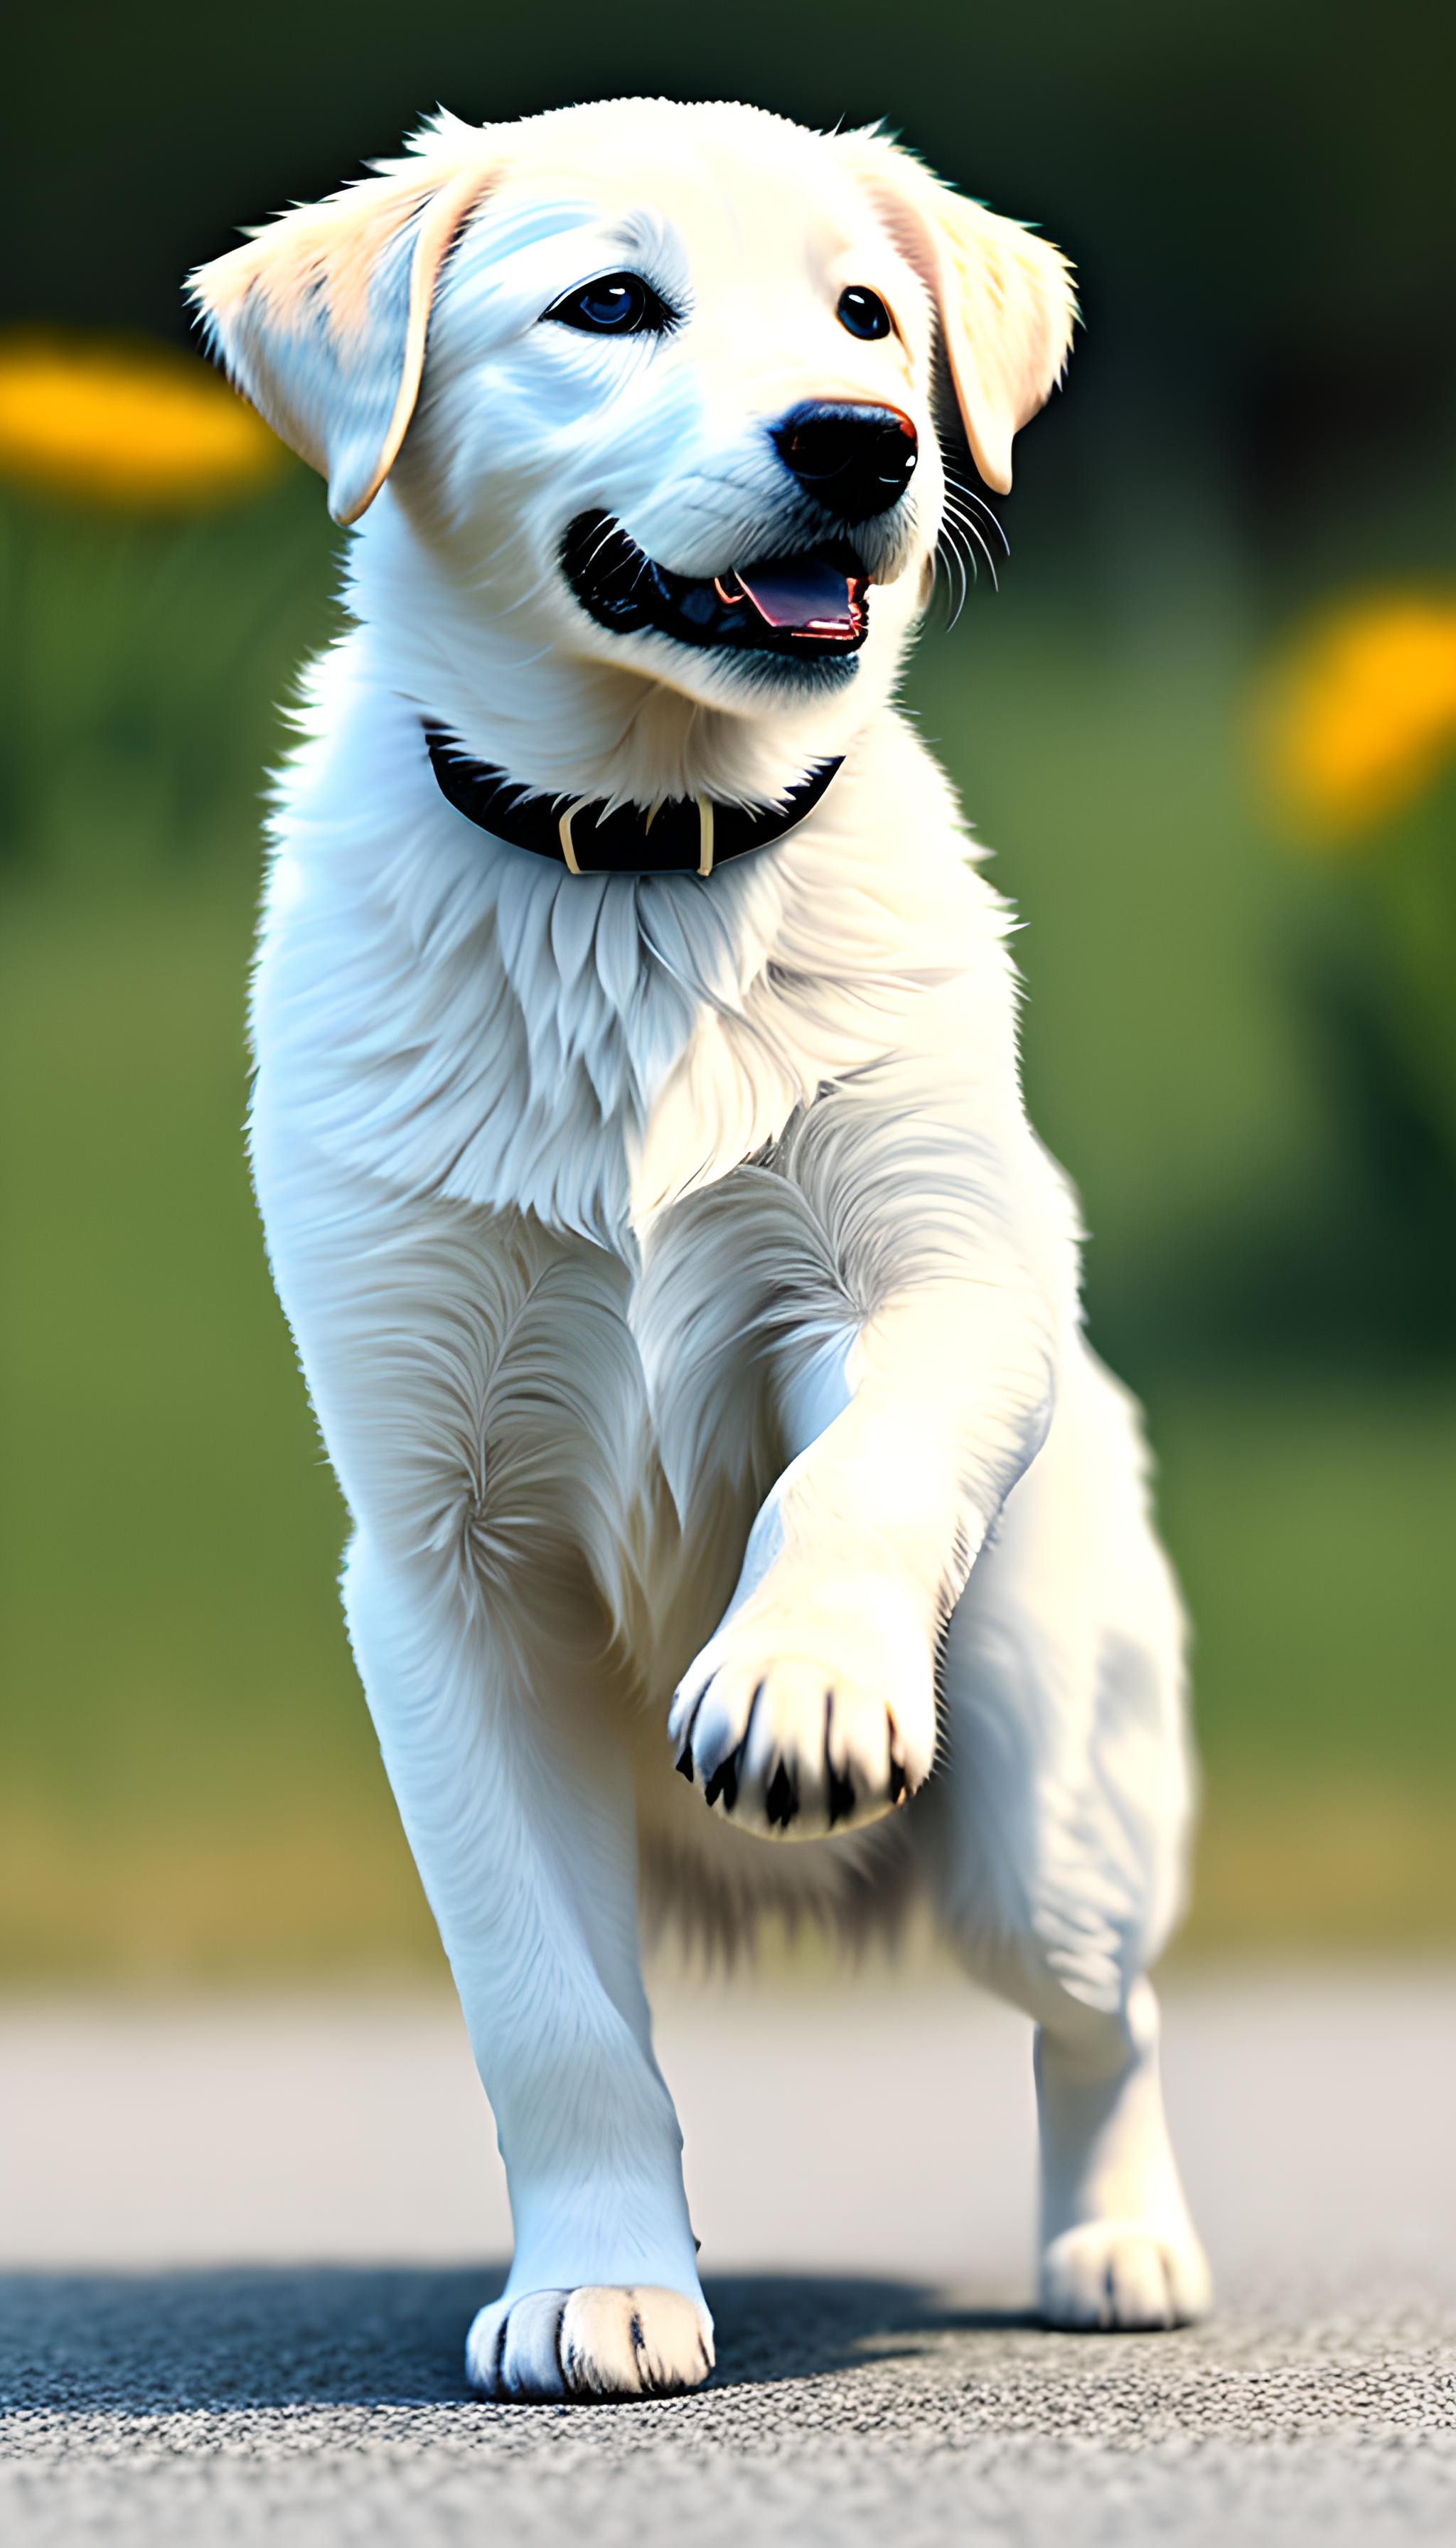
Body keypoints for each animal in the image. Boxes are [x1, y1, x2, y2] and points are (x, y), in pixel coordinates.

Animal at [196, 99, 1219, 2394]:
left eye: (864, 316)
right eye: (608, 304)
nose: (858, 440)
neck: (642, 863)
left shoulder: (931, 1272)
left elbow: (855, 1469)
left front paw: (799, 1681)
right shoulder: (445, 1562)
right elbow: (551, 2023)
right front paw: (599, 2288)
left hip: (1047, 1802)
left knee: (1098, 2014)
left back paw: (1118, 2243)